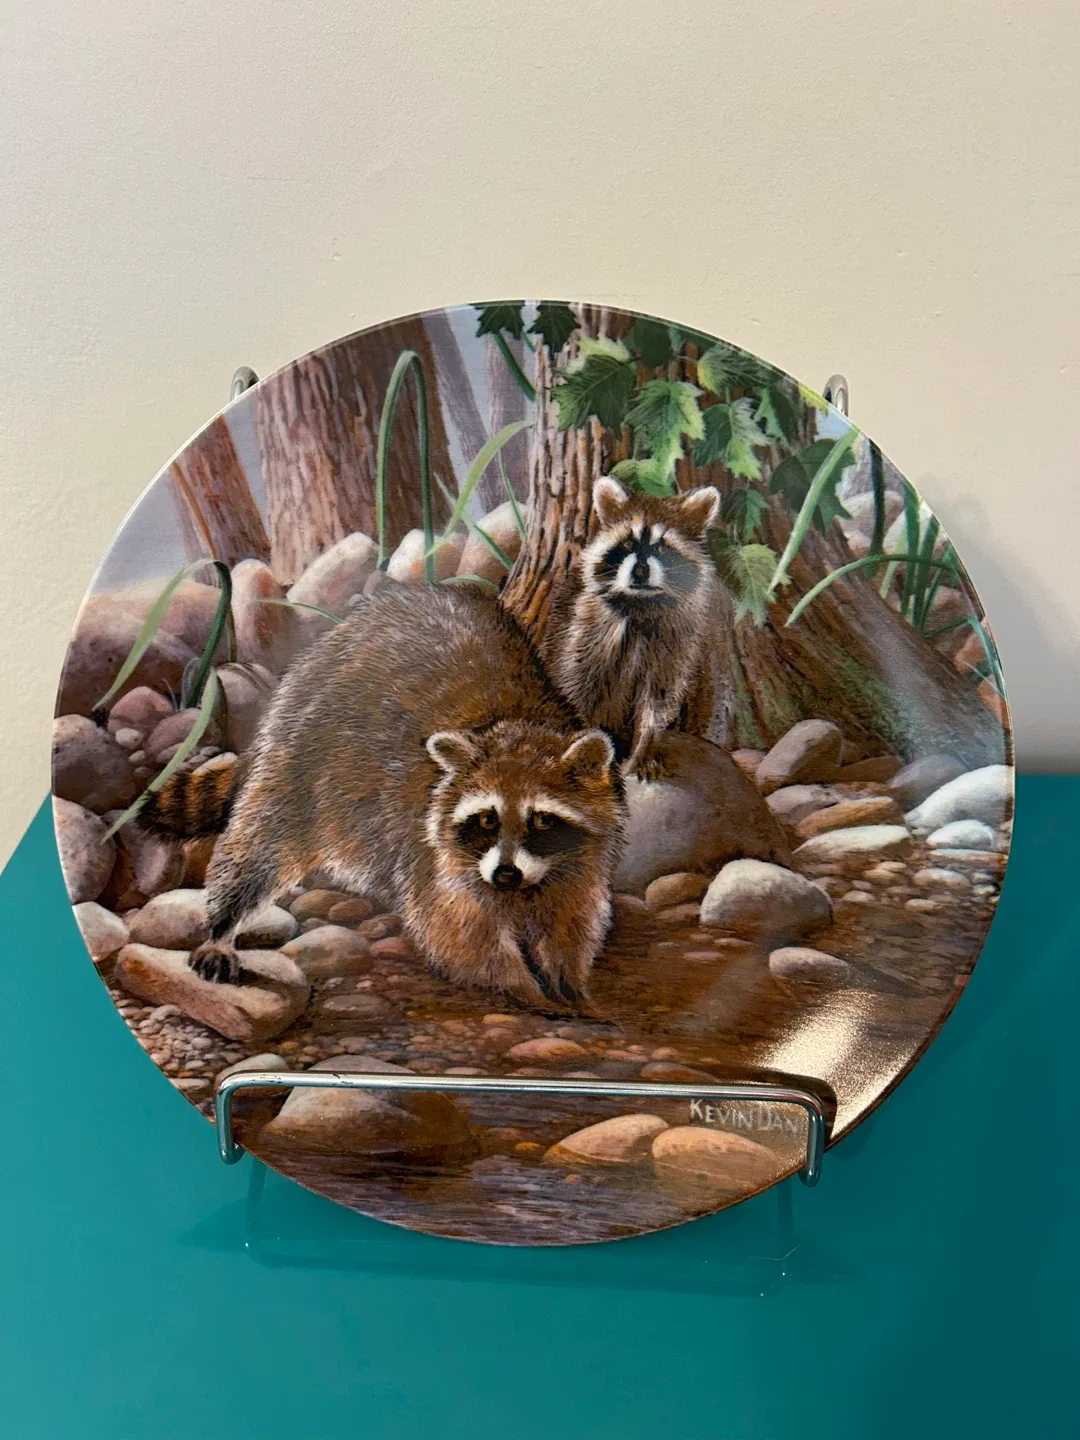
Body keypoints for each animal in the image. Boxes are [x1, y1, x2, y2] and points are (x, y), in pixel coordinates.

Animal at [144, 584, 624, 1010]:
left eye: (541, 819)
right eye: (487, 818)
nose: (505, 875)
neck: (519, 723)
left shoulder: (582, 857)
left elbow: (571, 919)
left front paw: (568, 981)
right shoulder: (438, 853)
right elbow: (459, 932)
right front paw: (519, 984)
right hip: (302, 751)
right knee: (261, 840)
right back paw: (223, 925)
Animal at [544, 477, 721, 773]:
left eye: (662, 547)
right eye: (627, 543)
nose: (640, 570)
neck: (642, 603)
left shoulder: (673, 645)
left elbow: (656, 704)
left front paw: (643, 751)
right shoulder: (583, 634)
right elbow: (579, 689)